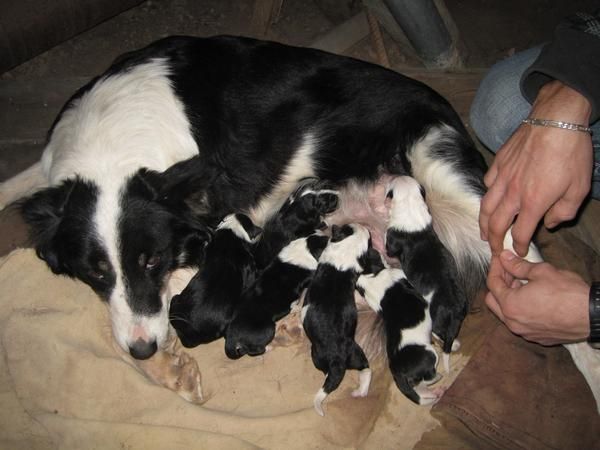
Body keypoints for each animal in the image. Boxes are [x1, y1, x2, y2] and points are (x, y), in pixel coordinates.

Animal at [302, 223, 382, 416]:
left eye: (345, 227)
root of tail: (338, 359)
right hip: (357, 354)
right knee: (366, 370)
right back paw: (360, 392)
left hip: (316, 355)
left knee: (326, 374)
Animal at [356, 266, 446, 406]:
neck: (369, 278)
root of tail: (396, 370)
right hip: (430, 354)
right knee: (428, 378)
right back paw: (438, 378)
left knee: (420, 389)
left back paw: (437, 393)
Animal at [384, 176, 468, 372]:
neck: (410, 204)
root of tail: (454, 310)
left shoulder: (390, 244)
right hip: (458, 320)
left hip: (436, 319)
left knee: (439, 334)